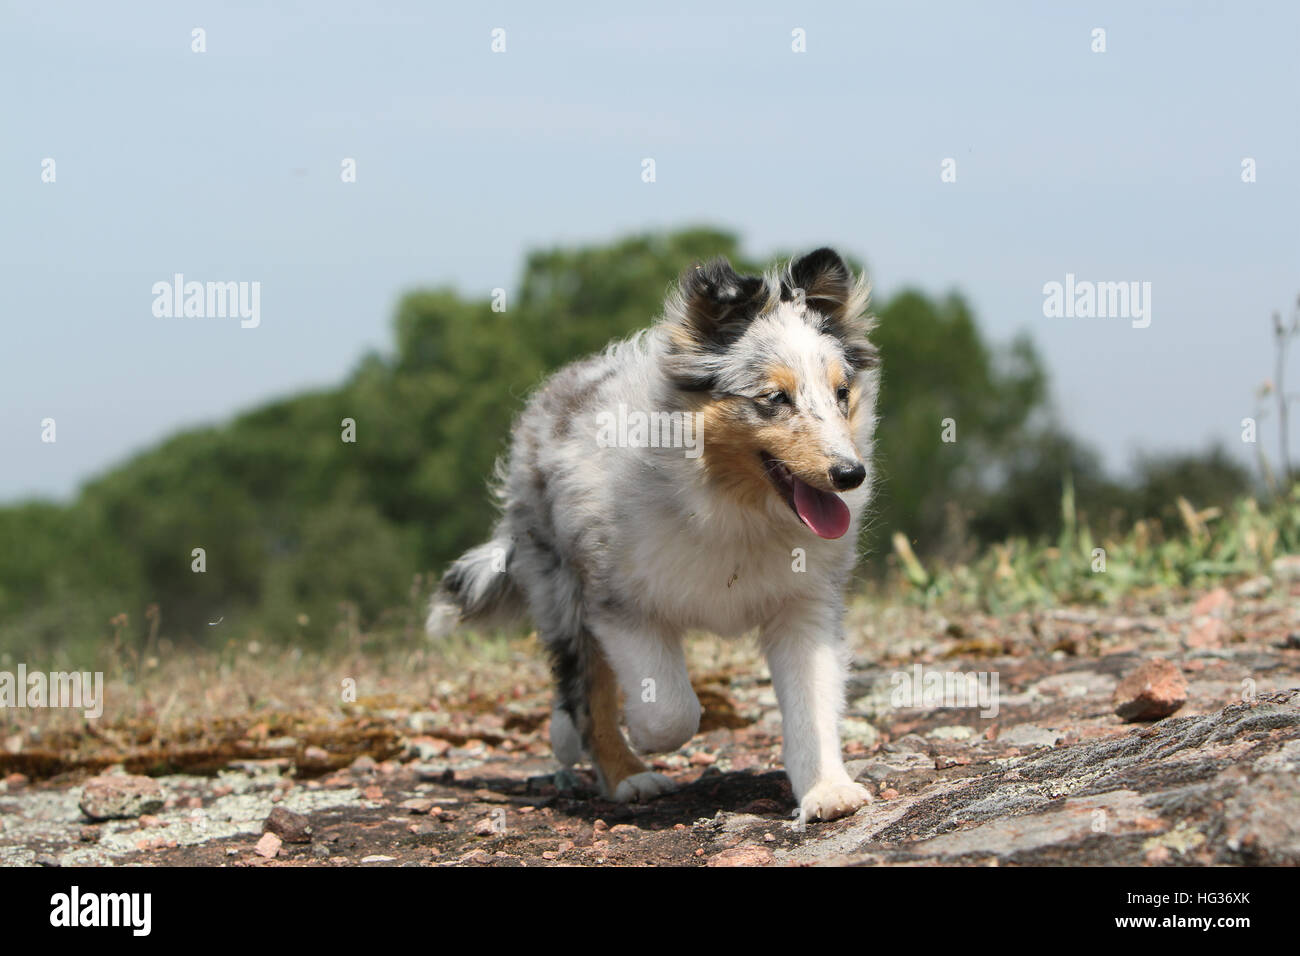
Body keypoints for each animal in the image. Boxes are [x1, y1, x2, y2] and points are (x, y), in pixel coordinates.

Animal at [431, 247, 878, 822]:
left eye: (842, 393)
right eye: (775, 398)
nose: (850, 474)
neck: (733, 507)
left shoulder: (805, 605)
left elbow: (813, 705)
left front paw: (827, 791)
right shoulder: (620, 605)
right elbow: (670, 710)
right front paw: (644, 738)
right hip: (562, 590)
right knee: (585, 694)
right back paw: (626, 775)